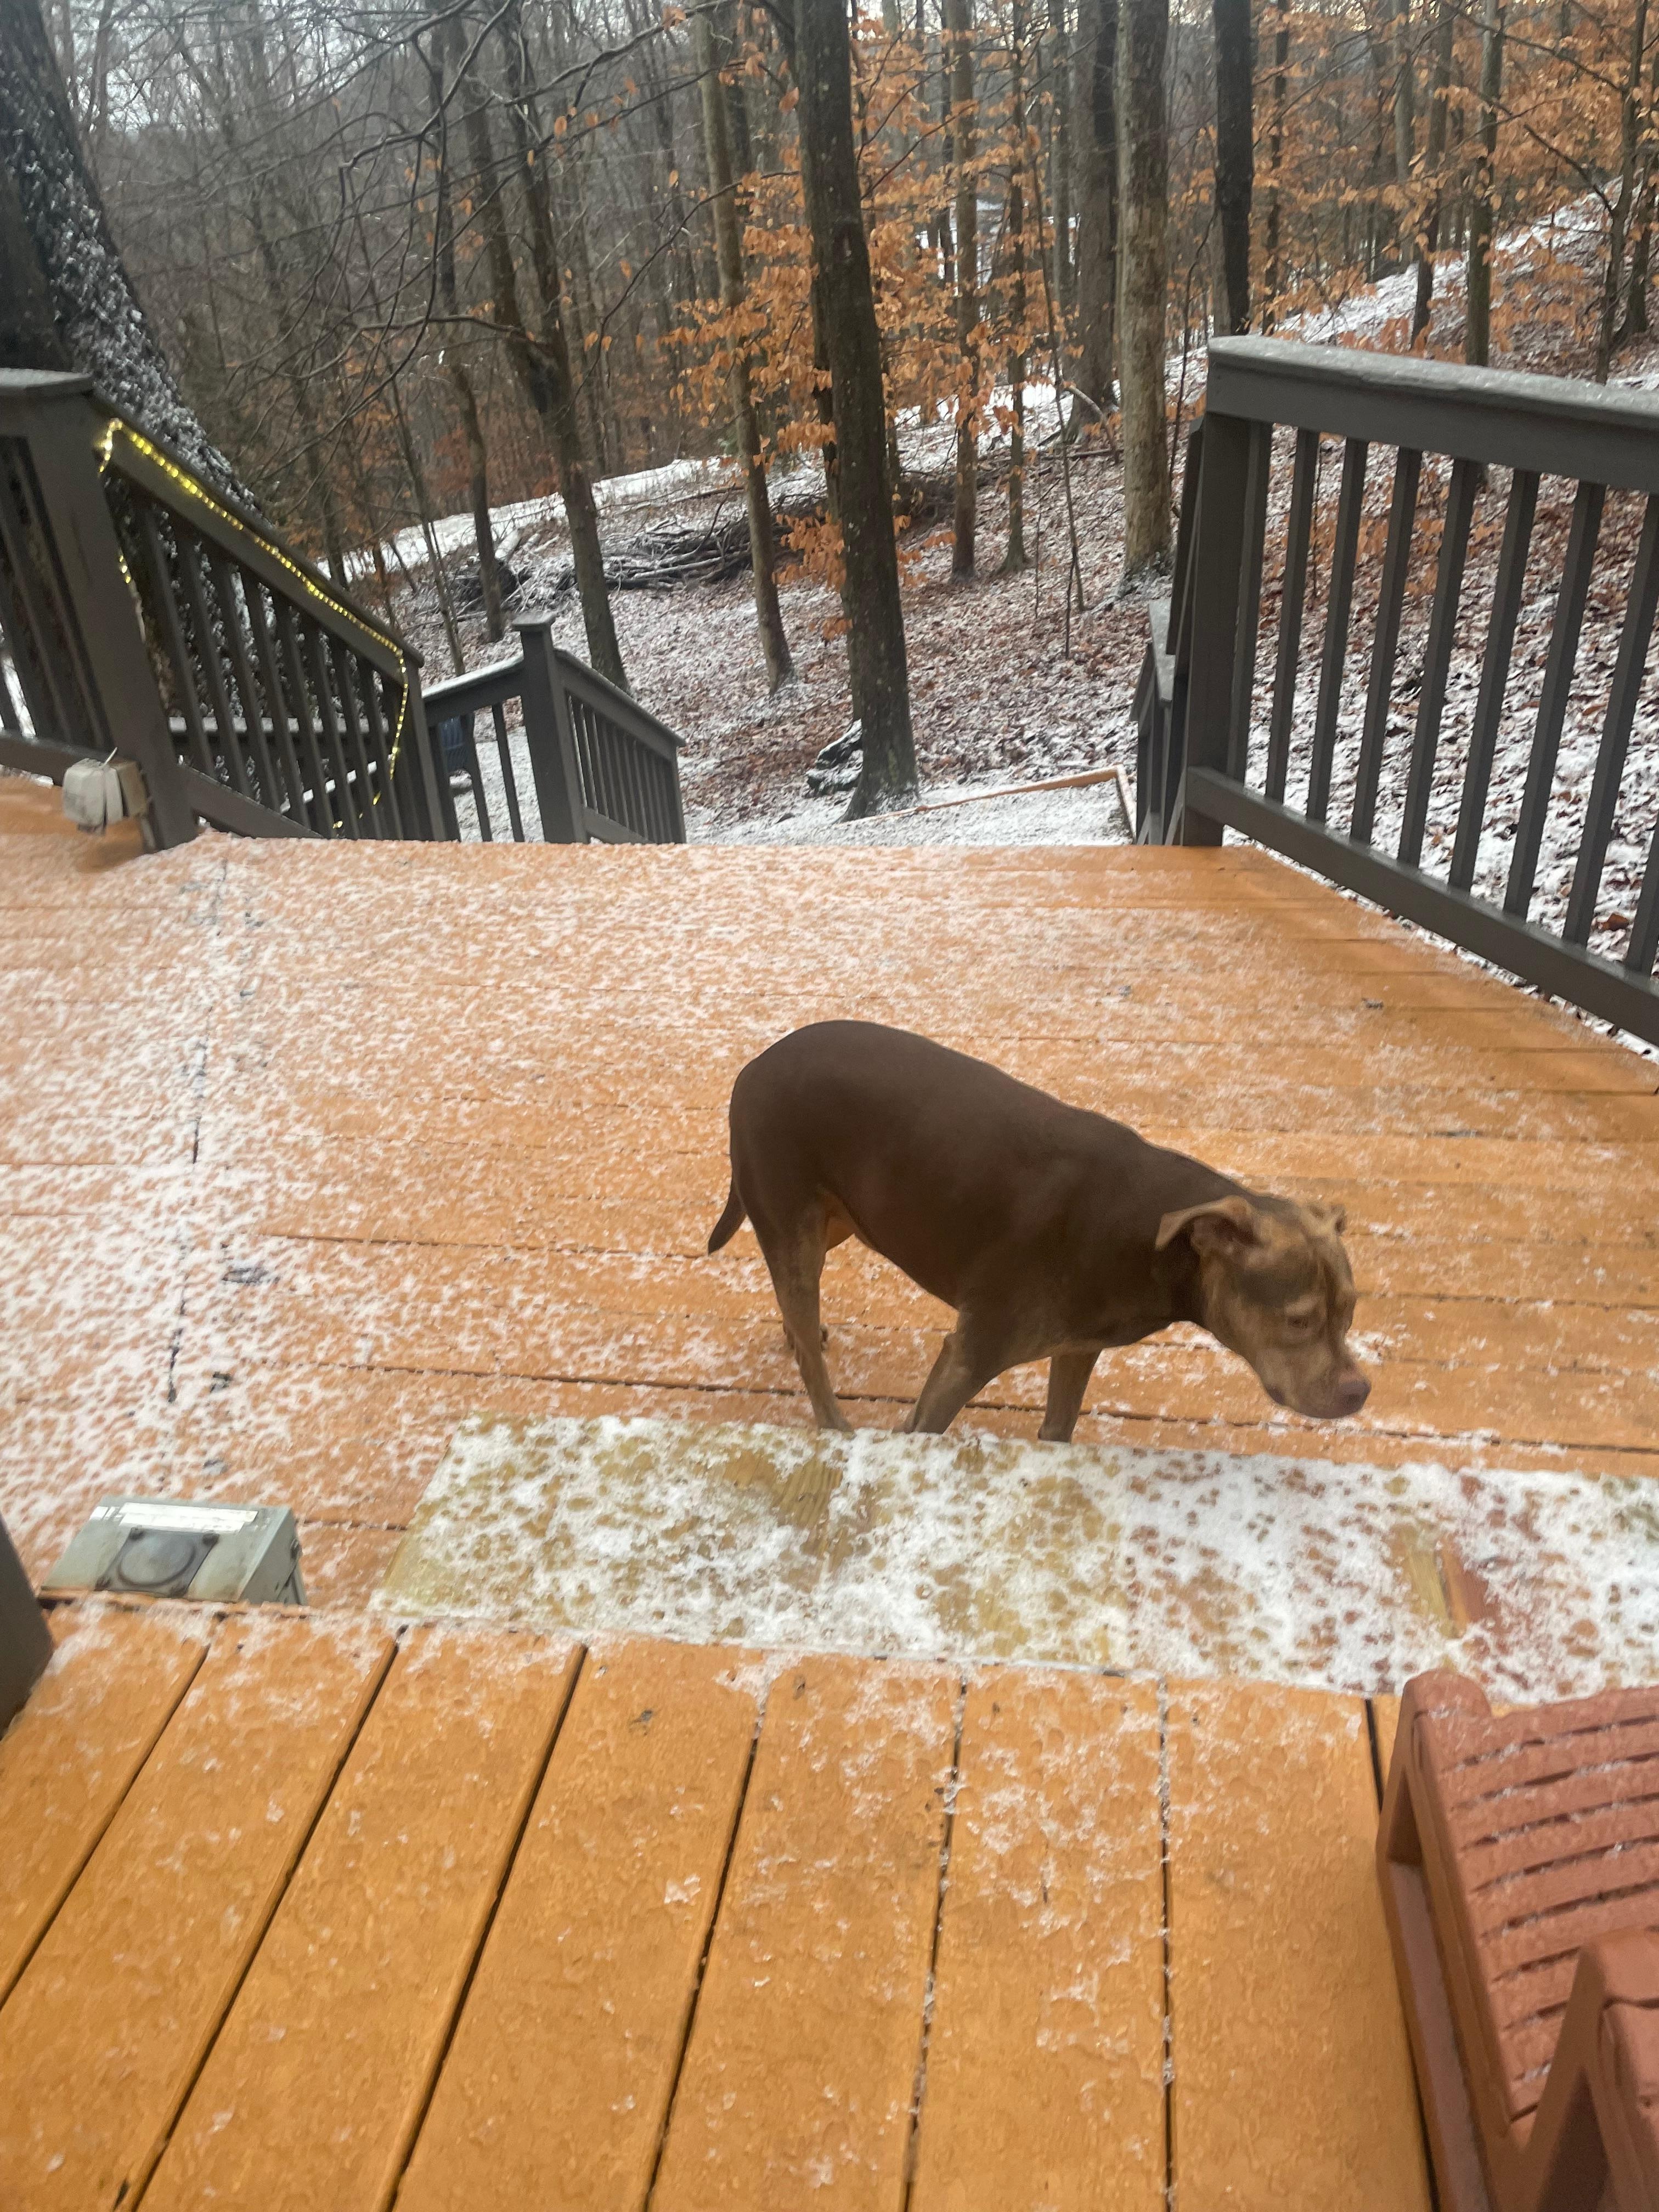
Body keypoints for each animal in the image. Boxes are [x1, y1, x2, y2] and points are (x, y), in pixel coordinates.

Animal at [707, 1020, 1369, 1438]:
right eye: (1300, 1320)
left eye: (1350, 1314)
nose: (1360, 1392)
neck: (1147, 1237)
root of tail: (751, 1067)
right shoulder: (967, 1357)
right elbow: (923, 1428)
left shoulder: (1076, 1350)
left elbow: (1058, 1430)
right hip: (795, 1220)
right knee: (808, 1353)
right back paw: (835, 1422)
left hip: (838, 1219)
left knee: (793, 1302)